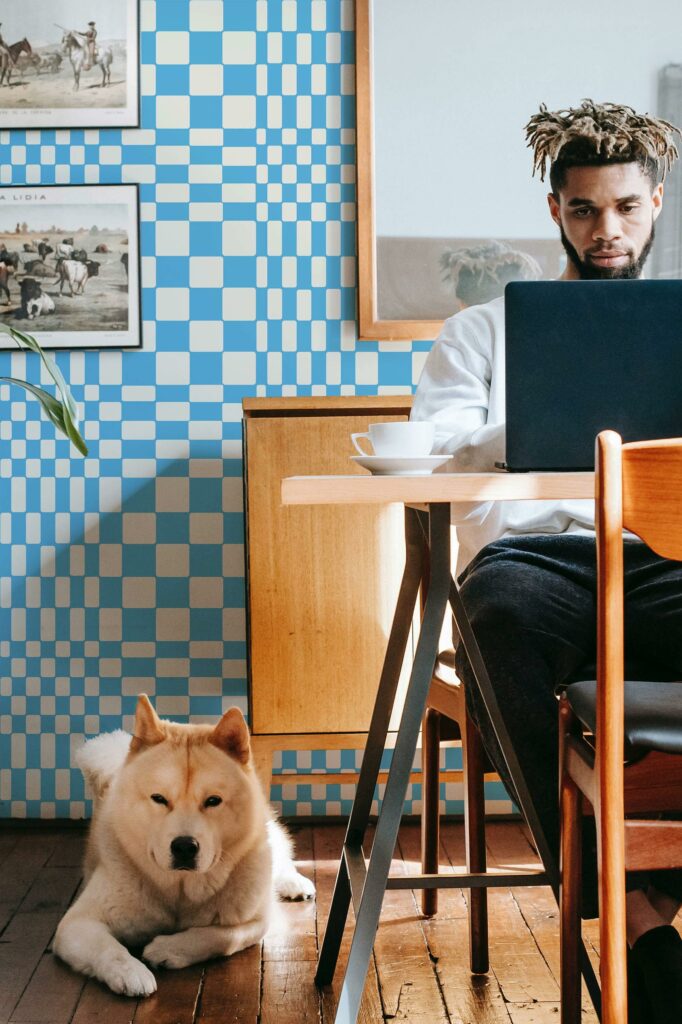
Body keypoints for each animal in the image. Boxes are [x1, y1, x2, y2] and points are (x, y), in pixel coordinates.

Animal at [52, 692, 313, 995]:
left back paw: (295, 883)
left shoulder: (256, 921)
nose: (185, 847)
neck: (179, 890)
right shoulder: (77, 923)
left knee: (281, 857)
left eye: (213, 801)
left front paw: (168, 948)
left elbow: (222, 937)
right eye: (159, 798)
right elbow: (110, 949)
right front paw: (131, 972)